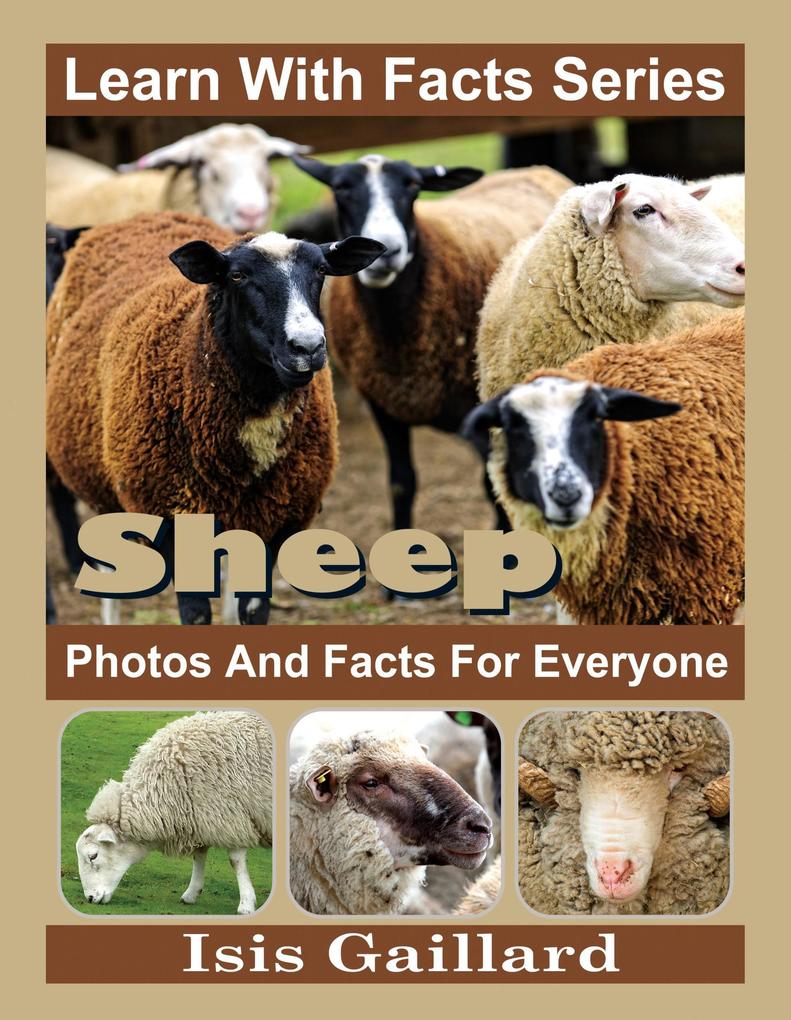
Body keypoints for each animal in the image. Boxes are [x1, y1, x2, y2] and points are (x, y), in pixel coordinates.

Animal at [45, 211, 384, 624]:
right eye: (237, 276)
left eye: (321, 270)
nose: (307, 347)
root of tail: (146, 216)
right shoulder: (172, 519)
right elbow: (195, 614)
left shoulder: (273, 523)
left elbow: (251, 610)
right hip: (103, 489)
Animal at [75, 711, 273, 914]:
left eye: (93, 856)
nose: (90, 898)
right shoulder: (200, 816)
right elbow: (199, 855)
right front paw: (191, 893)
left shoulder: (231, 815)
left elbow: (235, 861)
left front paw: (246, 904)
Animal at [291, 154, 572, 533]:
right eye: (341, 188)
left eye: (413, 186)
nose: (387, 250)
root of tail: (534, 169)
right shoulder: (382, 404)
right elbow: (401, 483)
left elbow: (492, 485)